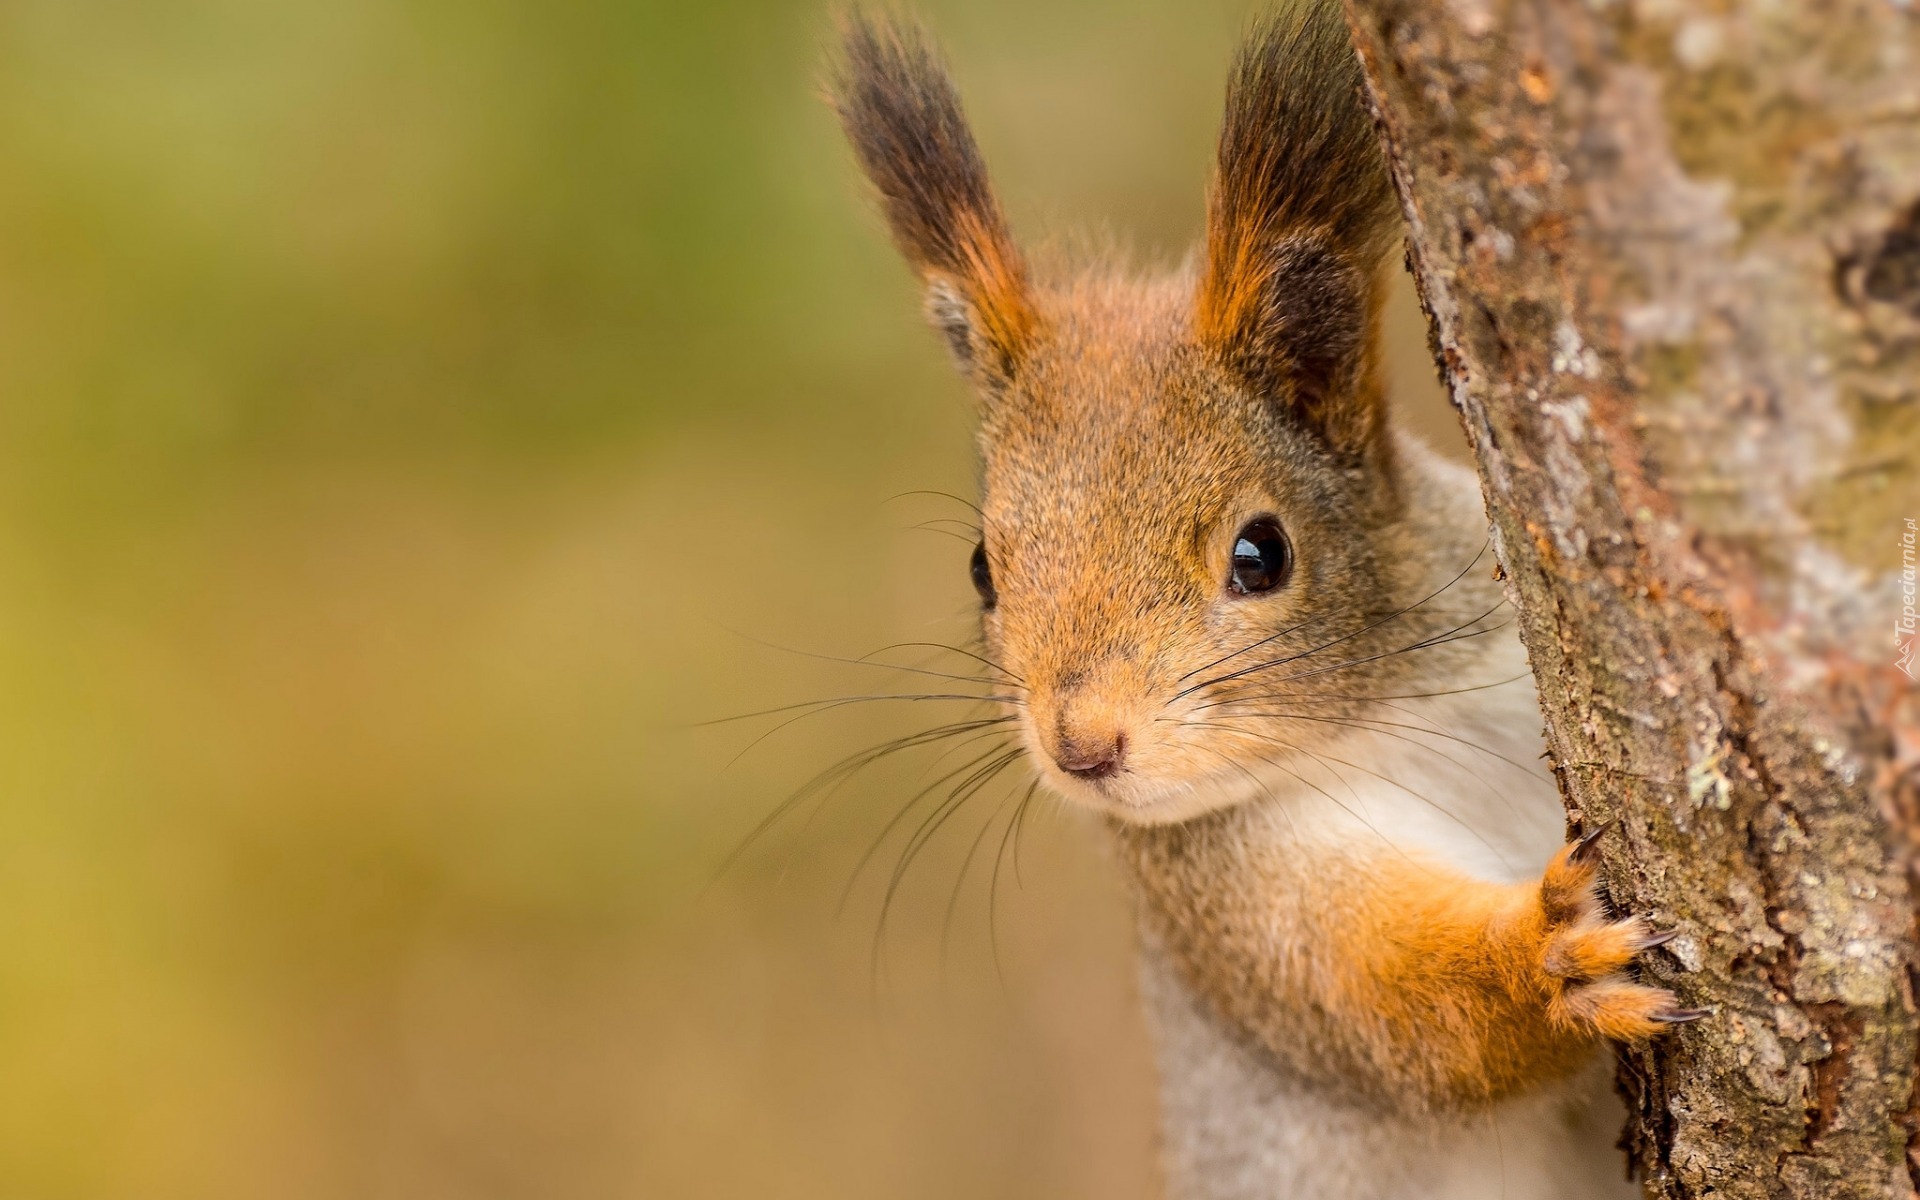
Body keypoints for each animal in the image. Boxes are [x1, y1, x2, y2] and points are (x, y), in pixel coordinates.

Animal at [825, 4, 1697, 1190]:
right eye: (982, 570)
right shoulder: (1235, 913)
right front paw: (1551, 960)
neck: (1385, 715)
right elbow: (1399, 1016)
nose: (1082, 749)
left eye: (1261, 553)